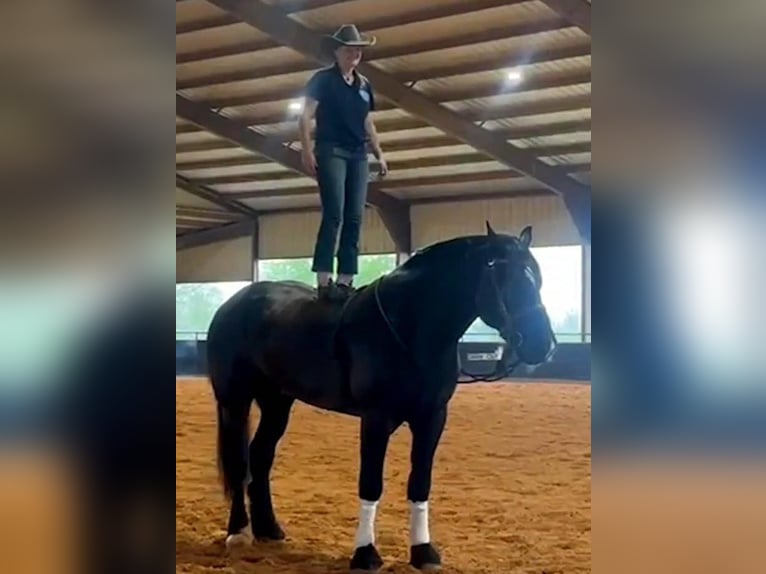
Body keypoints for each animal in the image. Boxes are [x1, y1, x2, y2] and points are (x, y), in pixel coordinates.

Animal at [208, 223, 560, 572]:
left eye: (537, 275)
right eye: (503, 276)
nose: (541, 345)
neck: (410, 327)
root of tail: (235, 303)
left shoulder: (432, 418)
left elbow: (420, 483)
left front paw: (423, 552)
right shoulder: (376, 419)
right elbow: (371, 483)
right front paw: (365, 553)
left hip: (277, 403)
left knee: (261, 455)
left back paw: (269, 528)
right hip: (234, 402)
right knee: (240, 462)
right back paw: (238, 532)